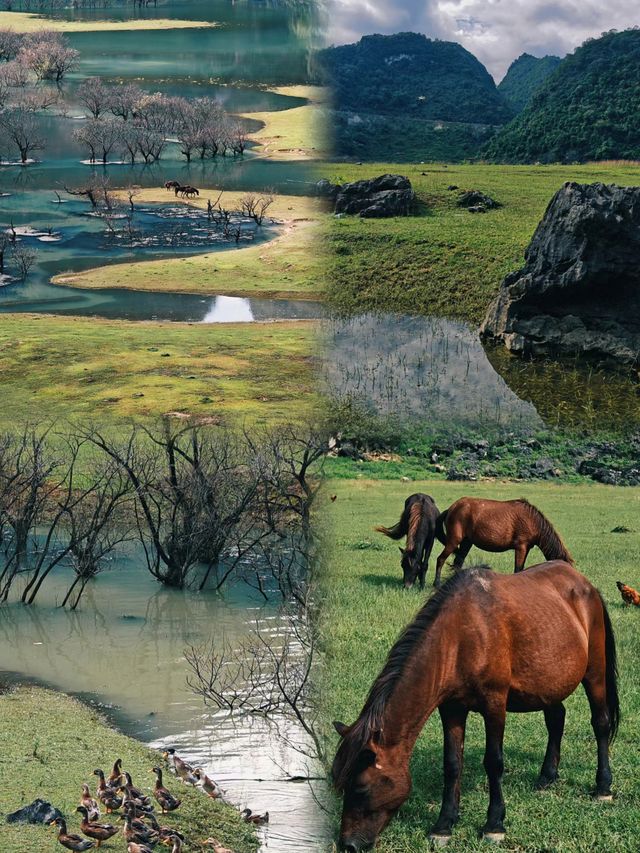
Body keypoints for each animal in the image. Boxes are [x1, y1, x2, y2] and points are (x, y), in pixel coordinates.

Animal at [332, 564, 616, 848]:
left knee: (600, 722)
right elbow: (452, 763)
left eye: (361, 788)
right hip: (549, 684)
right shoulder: (452, 709)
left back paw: (603, 786)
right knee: (556, 719)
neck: (459, 637)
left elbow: (494, 761)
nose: (348, 844)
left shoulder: (495, 704)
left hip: (594, 672)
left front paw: (494, 823)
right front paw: (444, 824)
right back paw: (547, 776)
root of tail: (584, 583)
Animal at [432, 492, 572, 584]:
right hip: (454, 541)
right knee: (440, 559)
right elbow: (518, 568)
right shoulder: (521, 547)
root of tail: (452, 508)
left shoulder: (526, 548)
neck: (532, 520)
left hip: (466, 543)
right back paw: (436, 584)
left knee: (458, 563)